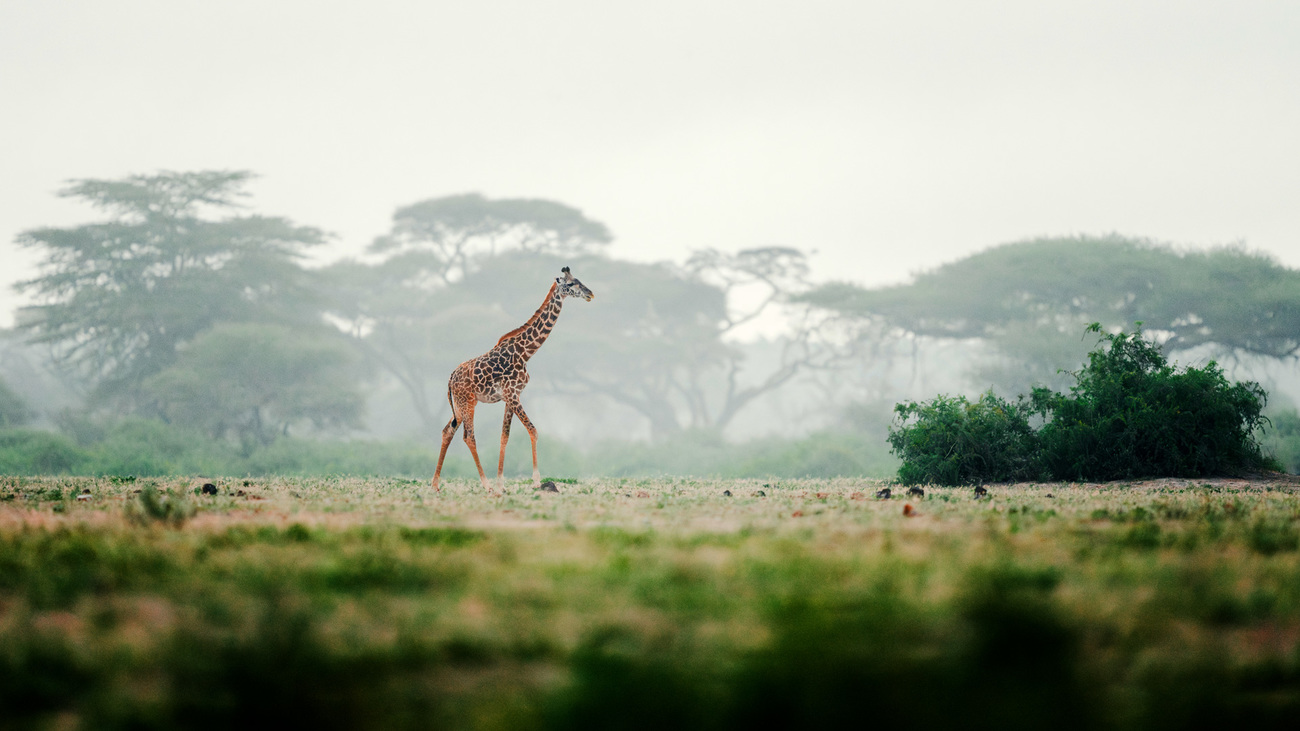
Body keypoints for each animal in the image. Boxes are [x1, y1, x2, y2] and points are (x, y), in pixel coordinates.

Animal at [431, 266, 594, 493]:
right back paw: (485, 485)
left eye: (580, 280)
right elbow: (533, 430)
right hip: (468, 402)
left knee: (448, 431)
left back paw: (435, 484)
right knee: (468, 436)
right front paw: (536, 481)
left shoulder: (510, 397)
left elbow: (504, 436)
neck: (526, 352)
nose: (590, 294)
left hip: (459, 405)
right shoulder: (513, 394)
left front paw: (501, 483)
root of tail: (450, 378)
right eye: (570, 284)